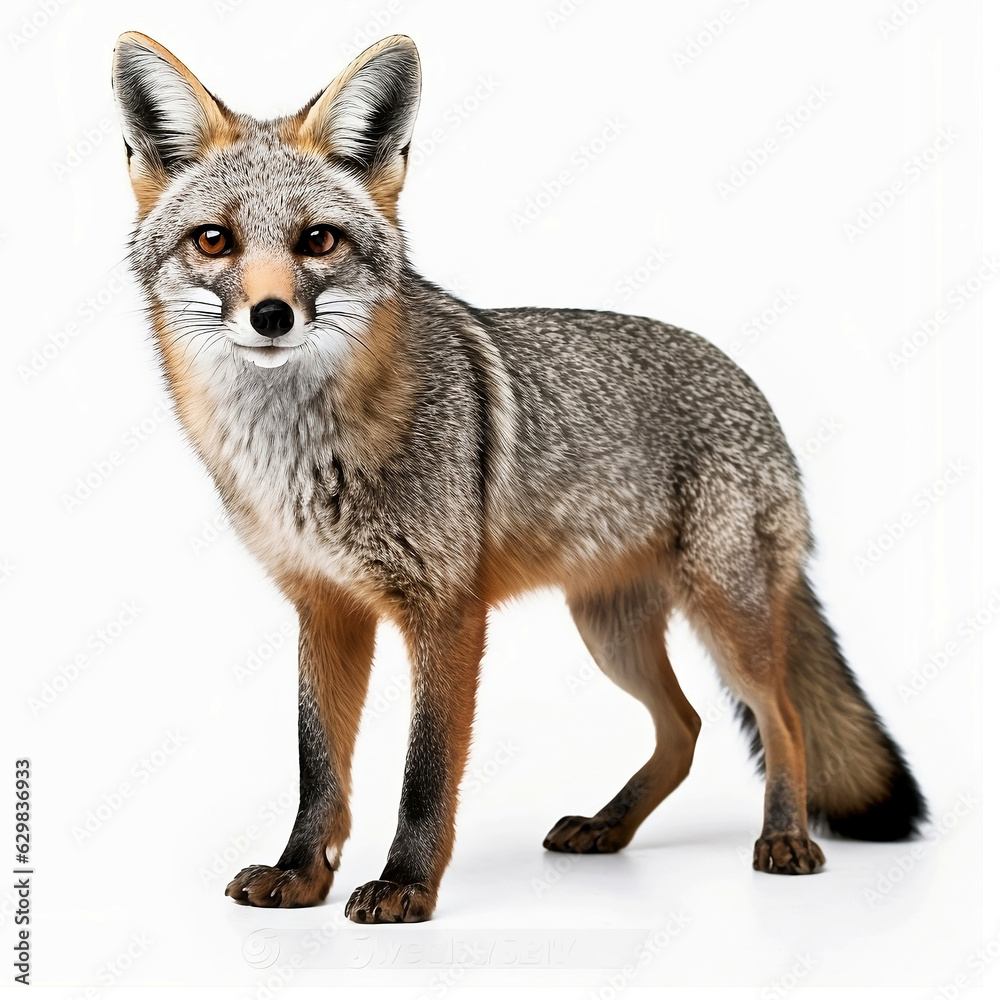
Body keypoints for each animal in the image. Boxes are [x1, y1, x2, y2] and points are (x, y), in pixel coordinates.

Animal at [111, 31, 926, 923]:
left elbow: (426, 771)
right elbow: (318, 766)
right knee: (686, 731)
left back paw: (784, 837)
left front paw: (406, 885)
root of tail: (749, 385)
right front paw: (300, 873)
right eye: (213, 241)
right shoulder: (325, 607)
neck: (300, 458)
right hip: (610, 631)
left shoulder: (447, 612)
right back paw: (608, 827)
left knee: (782, 719)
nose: (271, 317)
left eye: (317, 241)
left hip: (725, 617)